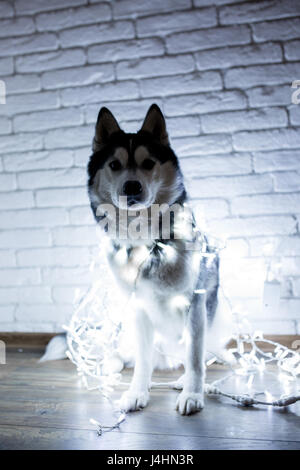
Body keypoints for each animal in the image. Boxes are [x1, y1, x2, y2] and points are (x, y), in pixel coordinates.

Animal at [86, 103, 232, 414]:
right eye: (114, 165)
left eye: (148, 163)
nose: (131, 187)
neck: (146, 243)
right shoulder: (139, 306)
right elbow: (143, 360)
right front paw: (136, 392)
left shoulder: (195, 304)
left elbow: (194, 358)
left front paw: (192, 394)